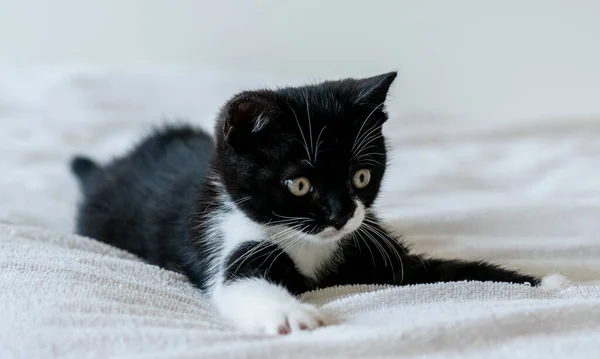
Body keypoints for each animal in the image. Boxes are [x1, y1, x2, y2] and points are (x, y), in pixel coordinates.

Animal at [70, 71, 540, 336]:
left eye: (361, 177)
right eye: (298, 185)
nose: (341, 215)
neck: (309, 242)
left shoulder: (367, 242)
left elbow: (438, 271)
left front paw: (533, 281)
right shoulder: (224, 234)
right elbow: (242, 283)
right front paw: (291, 316)